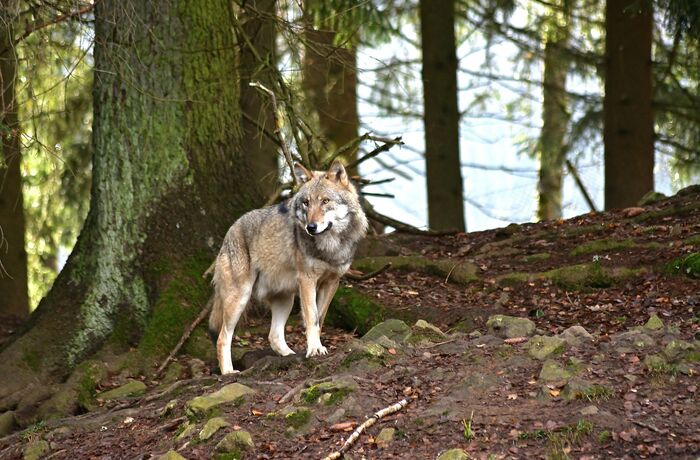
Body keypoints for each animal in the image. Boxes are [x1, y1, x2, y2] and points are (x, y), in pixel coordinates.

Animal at [208, 160, 368, 374]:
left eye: (325, 201)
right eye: (306, 202)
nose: (311, 227)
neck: (330, 246)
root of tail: (231, 230)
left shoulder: (332, 282)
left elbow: (319, 319)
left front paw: (316, 347)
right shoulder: (307, 280)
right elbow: (311, 317)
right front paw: (314, 349)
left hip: (286, 299)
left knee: (273, 336)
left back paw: (290, 356)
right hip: (240, 298)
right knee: (222, 338)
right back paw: (228, 372)